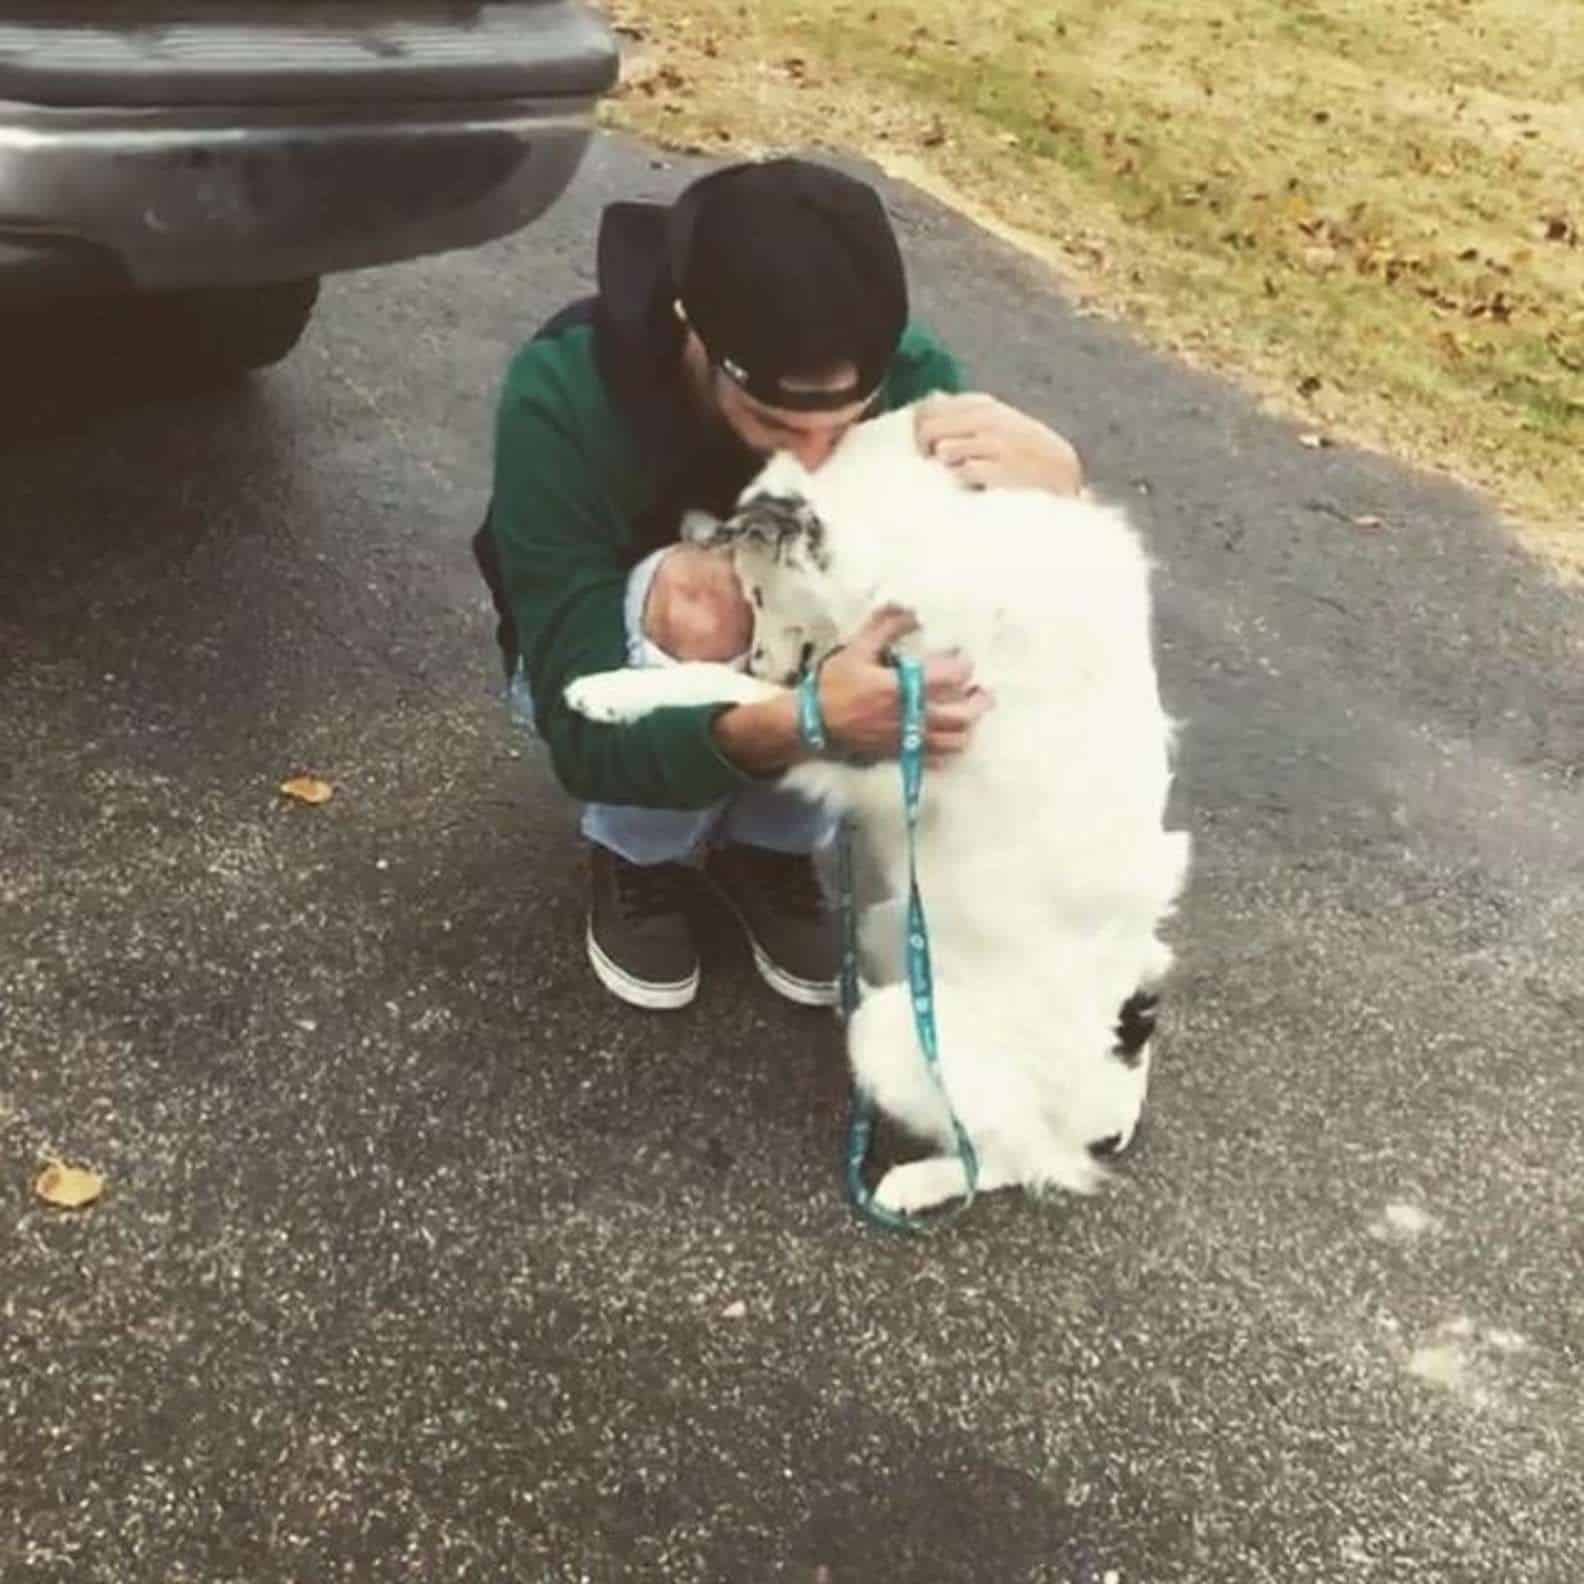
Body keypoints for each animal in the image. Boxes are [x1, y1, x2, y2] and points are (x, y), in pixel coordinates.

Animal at [570, 405, 1191, 1210]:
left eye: (761, 596)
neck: (938, 534)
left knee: (1009, 1159)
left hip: (902, 1037)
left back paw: (914, 1182)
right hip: (890, 924)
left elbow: (734, 688)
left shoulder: (877, 751)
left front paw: (611, 691)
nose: (764, 654)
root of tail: (1113, 1109)